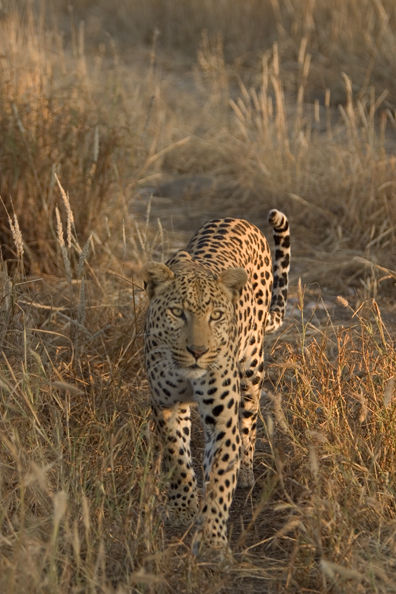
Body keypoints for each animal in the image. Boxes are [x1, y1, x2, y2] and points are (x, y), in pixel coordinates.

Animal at [141, 207, 290, 552]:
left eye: (217, 316)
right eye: (177, 313)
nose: (198, 351)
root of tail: (241, 219)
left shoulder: (221, 418)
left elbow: (220, 475)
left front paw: (211, 538)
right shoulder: (166, 406)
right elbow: (176, 457)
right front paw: (183, 508)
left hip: (251, 368)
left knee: (248, 421)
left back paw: (245, 470)